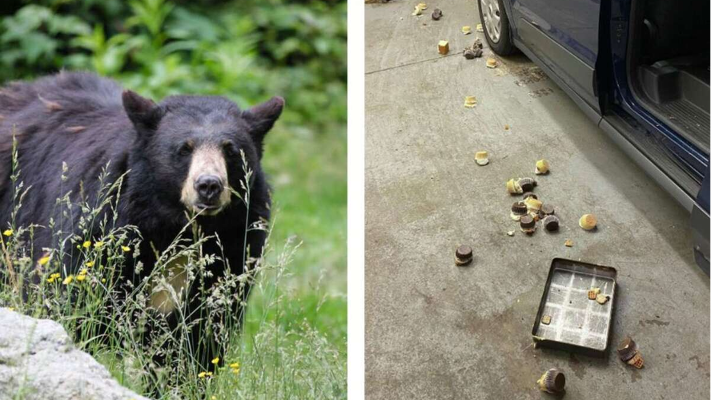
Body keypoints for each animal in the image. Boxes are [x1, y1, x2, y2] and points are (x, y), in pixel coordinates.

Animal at [0, 71, 282, 368]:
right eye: (184, 149)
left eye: (230, 150)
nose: (208, 185)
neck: (176, 227)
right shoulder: (99, 231)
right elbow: (71, 302)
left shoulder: (234, 246)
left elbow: (204, 333)